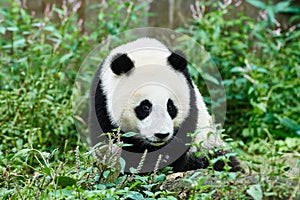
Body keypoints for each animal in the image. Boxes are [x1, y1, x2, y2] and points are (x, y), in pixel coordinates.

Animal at [88, 38, 241, 173]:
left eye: (170, 107)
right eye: (145, 107)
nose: (161, 134)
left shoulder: (190, 99)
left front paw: (160, 161)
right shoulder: (101, 100)